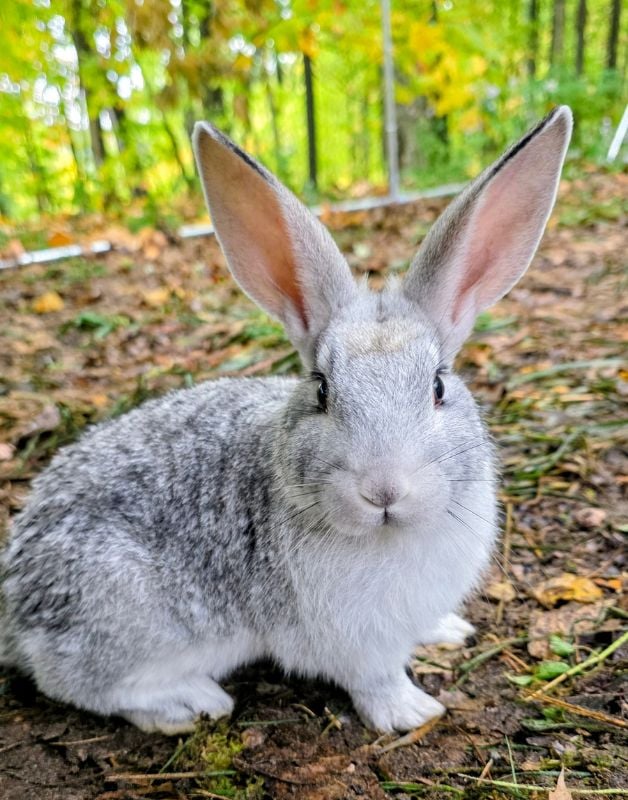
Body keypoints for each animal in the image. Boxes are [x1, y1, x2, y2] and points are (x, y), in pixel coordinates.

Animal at [0, 106, 572, 735]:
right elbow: (375, 679)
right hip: (124, 615)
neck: (388, 534)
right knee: (78, 683)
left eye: (438, 386)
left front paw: (447, 631)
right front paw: (410, 712)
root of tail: (15, 601)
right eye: (321, 390)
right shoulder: (352, 643)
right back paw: (191, 701)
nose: (384, 490)